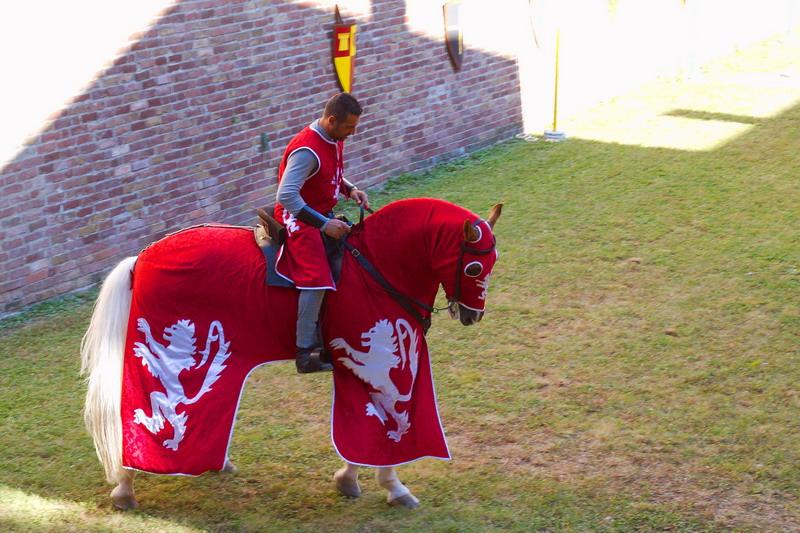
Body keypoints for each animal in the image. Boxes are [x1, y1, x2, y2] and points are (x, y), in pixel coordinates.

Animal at [132, 318, 230, 450]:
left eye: (174, 328)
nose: (165, 329)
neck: (178, 349)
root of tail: (184, 398)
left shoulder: (164, 360)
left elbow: (154, 350)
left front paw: (143, 338)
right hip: (162, 398)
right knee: (154, 397)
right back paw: (151, 422)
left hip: (168, 406)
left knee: (178, 423)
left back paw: (173, 442)